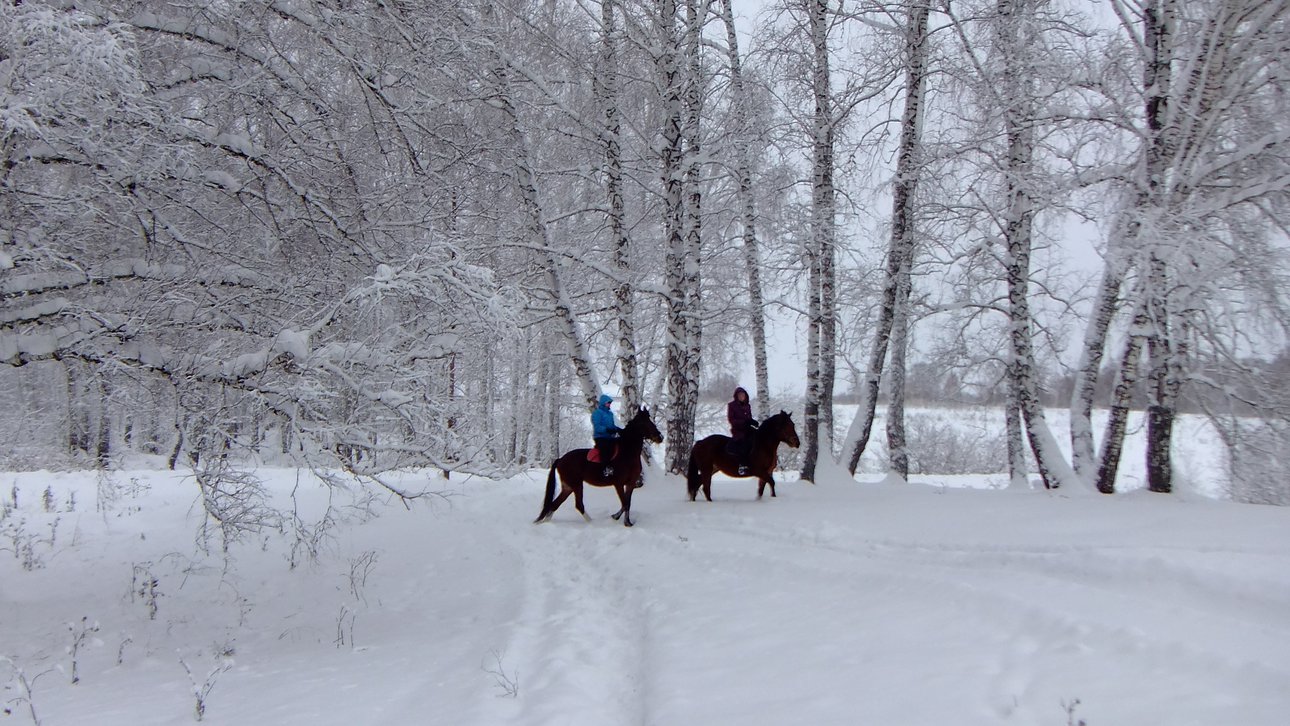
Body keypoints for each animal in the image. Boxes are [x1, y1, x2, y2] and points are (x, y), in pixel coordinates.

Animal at [531, 402, 660, 528]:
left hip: (568, 487)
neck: (627, 452)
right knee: (578, 505)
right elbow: (625, 503)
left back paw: (546, 521)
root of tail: (560, 459)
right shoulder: (618, 484)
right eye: (644, 422)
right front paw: (619, 519)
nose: (660, 437)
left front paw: (625, 521)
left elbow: (627, 503)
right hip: (576, 485)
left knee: (555, 504)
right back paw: (592, 523)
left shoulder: (630, 483)